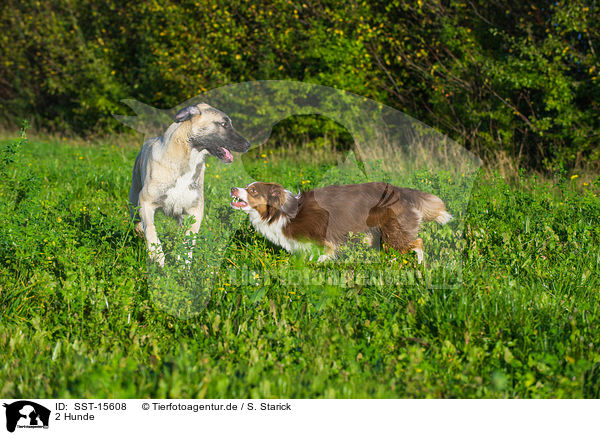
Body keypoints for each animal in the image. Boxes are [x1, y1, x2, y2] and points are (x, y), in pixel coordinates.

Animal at [130, 103, 250, 266]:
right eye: (224, 124)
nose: (248, 144)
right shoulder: (145, 203)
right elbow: (150, 230)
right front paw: (158, 258)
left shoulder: (195, 211)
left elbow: (188, 241)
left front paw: (182, 265)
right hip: (134, 203)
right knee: (137, 224)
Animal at [230, 182, 450, 264]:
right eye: (247, 186)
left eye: (253, 191)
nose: (232, 188)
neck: (279, 212)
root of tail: (400, 190)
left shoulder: (325, 242)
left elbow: (321, 258)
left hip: (392, 231)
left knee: (418, 242)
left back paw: (419, 265)